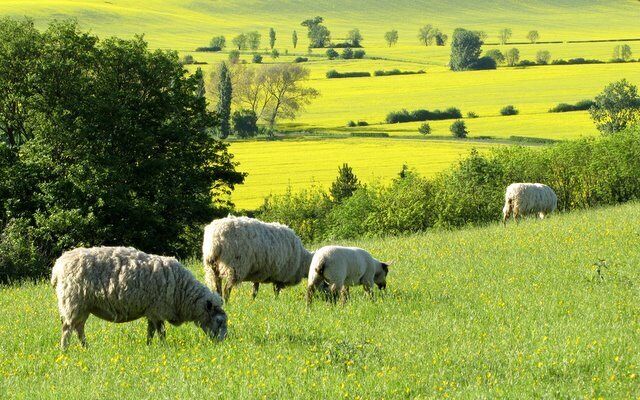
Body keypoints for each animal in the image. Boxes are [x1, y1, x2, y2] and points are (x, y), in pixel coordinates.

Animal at [51, 246, 227, 350]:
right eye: (219, 321)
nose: (223, 342)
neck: (182, 292)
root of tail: (57, 267)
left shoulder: (151, 311)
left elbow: (151, 331)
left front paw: (148, 346)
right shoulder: (158, 309)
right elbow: (161, 332)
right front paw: (164, 347)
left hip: (83, 305)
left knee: (78, 328)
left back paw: (86, 347)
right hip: (73, 301)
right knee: (68, 328)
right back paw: (64, 350)